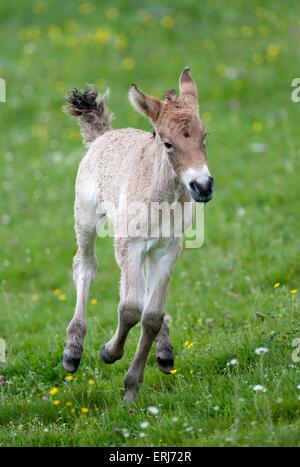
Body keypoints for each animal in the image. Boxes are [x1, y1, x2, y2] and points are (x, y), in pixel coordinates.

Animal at [62, 68, 213, 402]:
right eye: (167, 143)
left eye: (204, 135)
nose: (203, 186)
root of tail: (102, 135)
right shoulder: (129, 244)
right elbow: (130, 309)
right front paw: (109, 353)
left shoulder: (168, 248)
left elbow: (151, 315)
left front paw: (132, 386)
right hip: (85, 219)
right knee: (85, 267)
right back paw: (73, 351)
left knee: (142, 291)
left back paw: (165, 352)